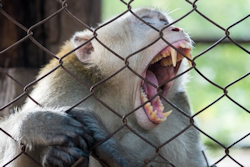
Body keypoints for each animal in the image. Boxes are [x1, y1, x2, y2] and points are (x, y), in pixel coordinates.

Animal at [0, 7, 207, 167]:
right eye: (145, 21)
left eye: (163, 21)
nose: (175, 28)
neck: (119, 99)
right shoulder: (64, 82)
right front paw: (38, 124)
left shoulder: (179, 109)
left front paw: (112, 148)